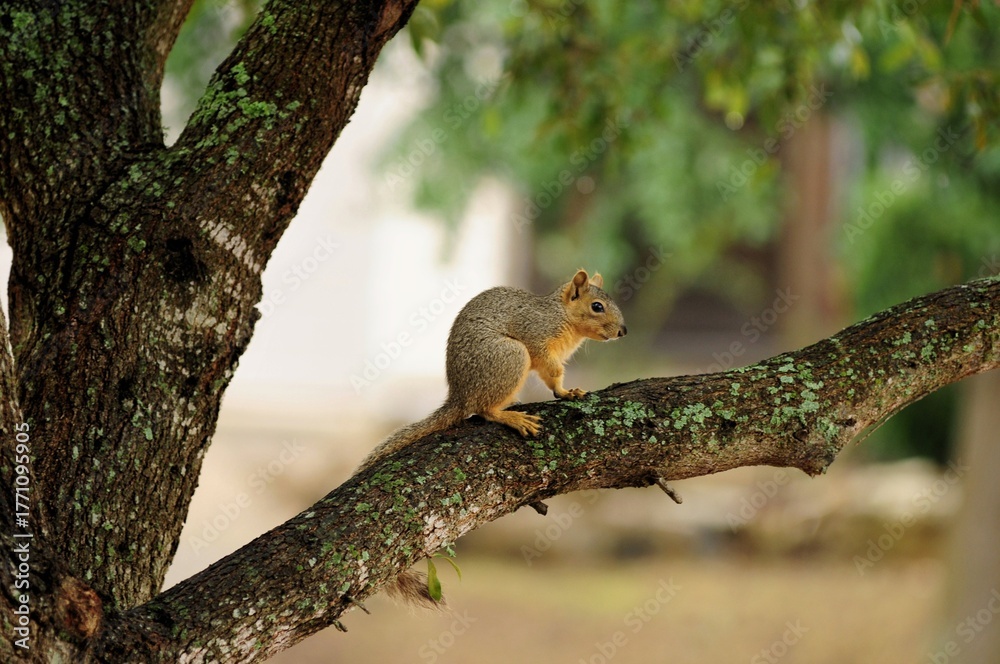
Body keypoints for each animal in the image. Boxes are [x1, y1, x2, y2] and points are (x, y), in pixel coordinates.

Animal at [356, 269, 626, 606]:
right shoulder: (536, 337)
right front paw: (563, 389)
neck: (561, 315)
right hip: (510, 357)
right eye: (597, 306)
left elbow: (555, 381)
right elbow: (550, 368)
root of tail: (460, 397)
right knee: (484, 410)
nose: (623, 331)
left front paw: (568, 392)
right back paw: (511, 417)